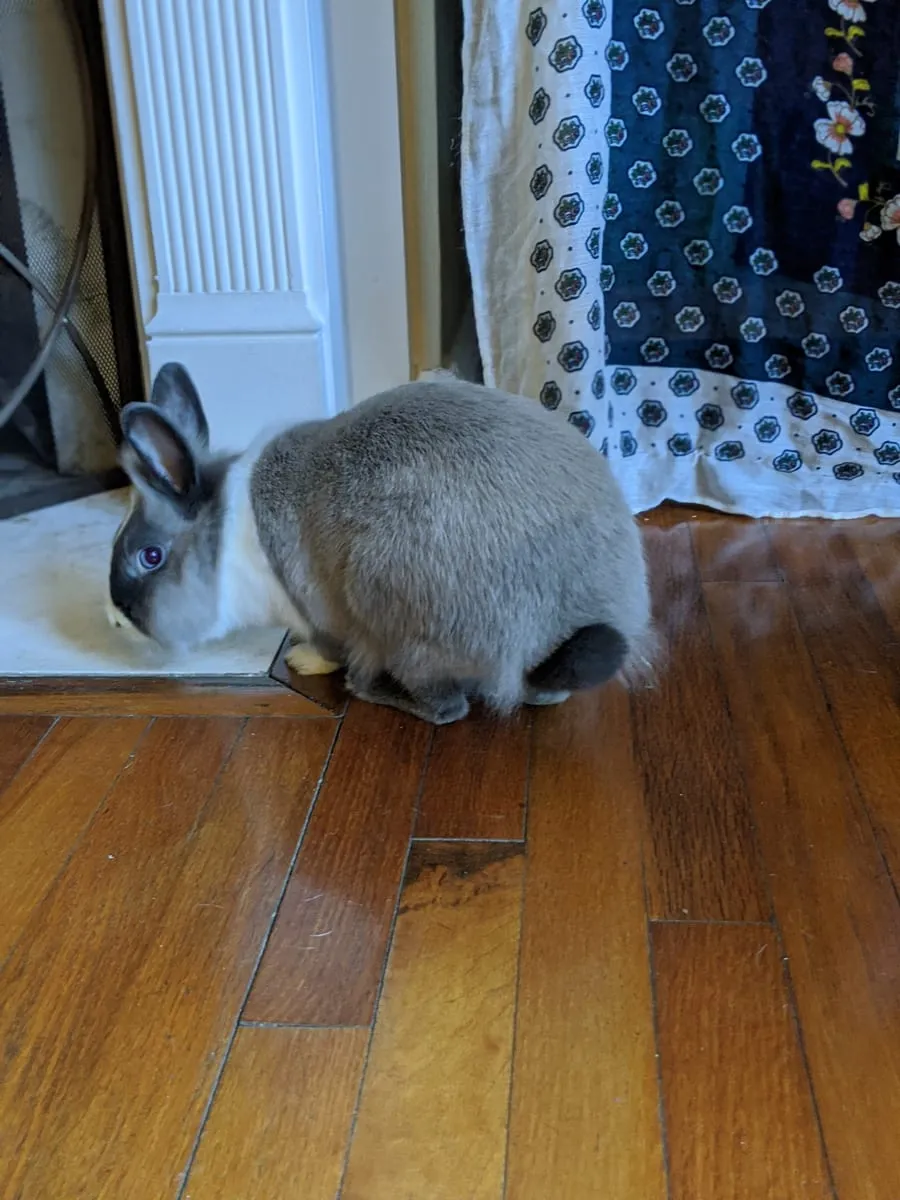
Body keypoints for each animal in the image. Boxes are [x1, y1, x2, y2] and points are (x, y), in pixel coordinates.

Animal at [108, 362, 652, 725]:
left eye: (150, 557)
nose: (114, 619)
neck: (225, 541)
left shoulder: (313, 607)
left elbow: (327, 643)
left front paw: (303, 661)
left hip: (396, 614)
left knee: (448, 708)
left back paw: (371, 690)